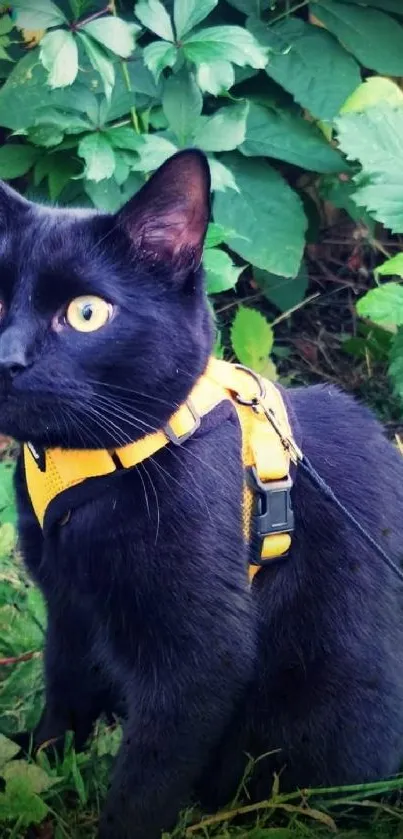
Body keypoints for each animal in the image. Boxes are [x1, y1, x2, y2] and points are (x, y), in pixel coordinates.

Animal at [0, 153, 402, 839]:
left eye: (86, 314)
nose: (6, 360)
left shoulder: (201, 661)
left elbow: (145, 783)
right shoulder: (69, 604)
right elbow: (65, 689)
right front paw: (39, 765)